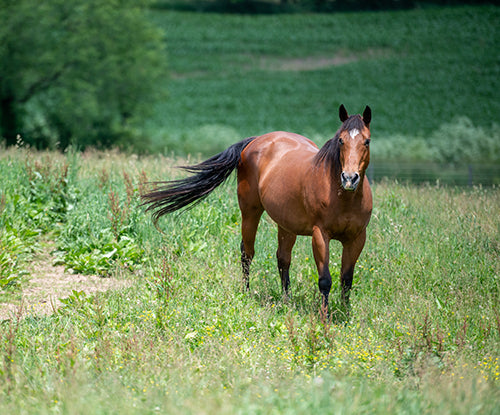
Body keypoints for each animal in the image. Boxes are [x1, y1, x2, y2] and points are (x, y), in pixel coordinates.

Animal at [141, 105, 372, 314]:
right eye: (341, 140)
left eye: (367, 141)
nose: (349, 178)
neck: (343, 198)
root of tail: (257, 139)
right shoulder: (320, 235)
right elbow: (325, 279)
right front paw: (324, 318)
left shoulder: (357, 238)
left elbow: (347, 279)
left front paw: (345, 313)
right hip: (250, 212)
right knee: (247, 253)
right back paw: (246, 292)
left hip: (286, 224)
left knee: (283, 258)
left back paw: (286, 300)